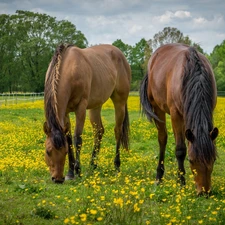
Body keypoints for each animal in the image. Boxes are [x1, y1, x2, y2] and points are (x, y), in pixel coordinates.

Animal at [43, 43, 131, 183]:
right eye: (48, 151)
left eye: (64, 152)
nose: (57, 179)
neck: (69, 68)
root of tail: (120, 54)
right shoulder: (66, 112)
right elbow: (68, 139)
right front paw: (70, 172)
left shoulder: (81, 108)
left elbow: (77, 138)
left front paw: (78, 171)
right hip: (95, 107)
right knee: (99, 131)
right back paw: (93, 165)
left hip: (120, 102)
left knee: (118, 131)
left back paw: (116, 166)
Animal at [140, 43, 219, 194]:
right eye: (191, 160)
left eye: (213, 160)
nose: (204, 193)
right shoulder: (176, 115)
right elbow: (180, 150)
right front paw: (181, 183)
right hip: (158, 109)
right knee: (162, 138)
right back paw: (159, 177)